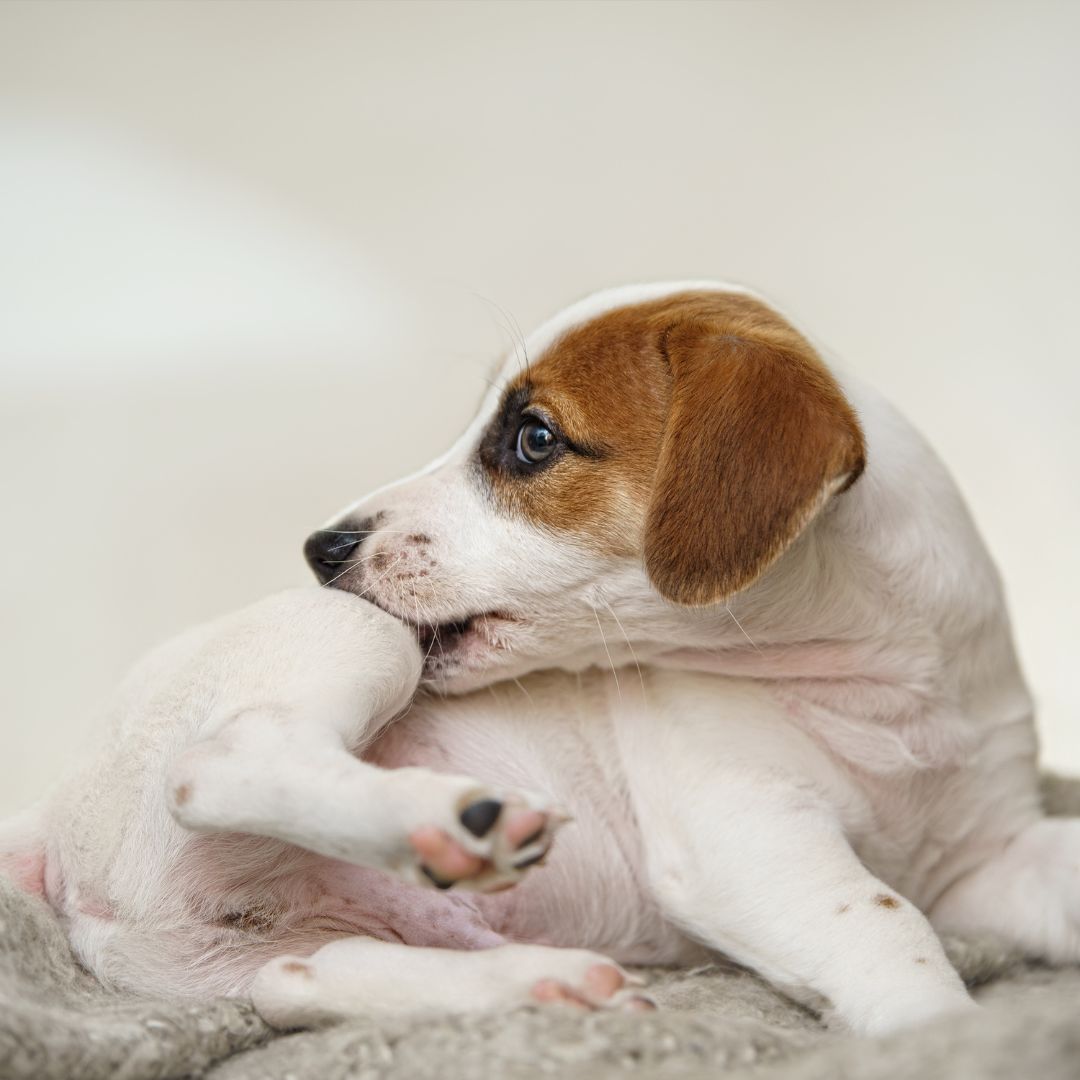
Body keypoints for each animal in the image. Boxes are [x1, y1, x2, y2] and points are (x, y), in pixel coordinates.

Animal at [4, 282, 1075, 1032]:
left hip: (253, 956)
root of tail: (51, 818)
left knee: (296, 981)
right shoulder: (747, 834)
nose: (322, 548)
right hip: (356, 640)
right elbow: (888, 926)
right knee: (219, 763)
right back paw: (451, 823)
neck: (883, 694)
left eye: (532, 439)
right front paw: (945, 1036)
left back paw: (547, 983)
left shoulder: (984, 862)